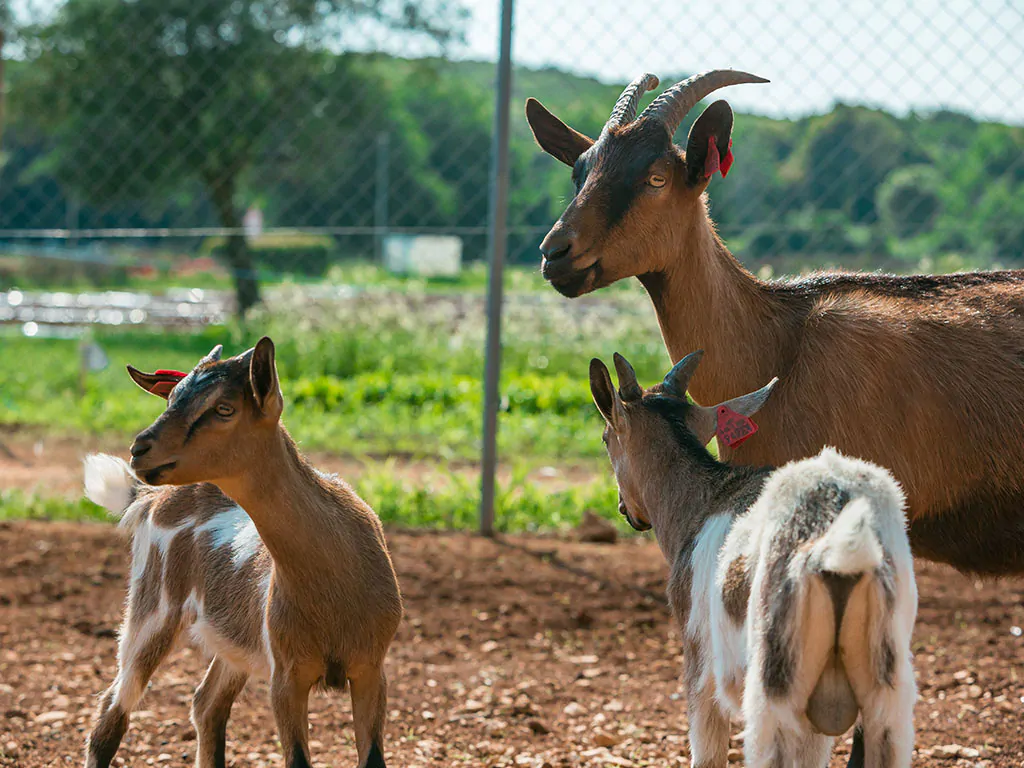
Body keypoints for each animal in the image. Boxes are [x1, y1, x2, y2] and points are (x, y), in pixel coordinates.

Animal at [82, 338, 402, 768]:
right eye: (173, 398)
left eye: (224, 409)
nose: (139, 449)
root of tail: (149, 497)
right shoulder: (286, 676)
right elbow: (297, 760)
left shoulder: (370, 668)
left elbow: (372, 759)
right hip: (152, 608)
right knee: (113, 711)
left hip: (234, 643)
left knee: (207, 705)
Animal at [589, 350, 917, 768]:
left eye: (605, 438)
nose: (624, 509)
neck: (706, 498)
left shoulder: (699, 661)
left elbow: (708, 753)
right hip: (887, 679)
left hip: (771, 682)